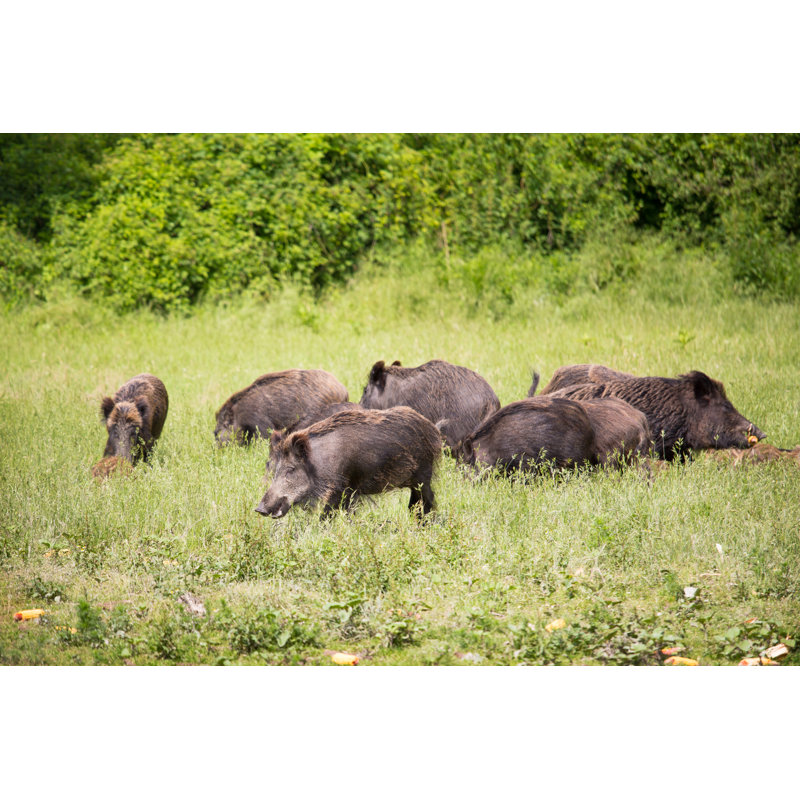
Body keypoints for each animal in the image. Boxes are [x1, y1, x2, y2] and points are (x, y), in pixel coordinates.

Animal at [255, 406, 441, 518]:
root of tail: (433, 429)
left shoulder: (342, 490)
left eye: (291, 469)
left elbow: (327, 517)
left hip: (423, 476)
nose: (259, 509)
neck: (319, 463)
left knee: (428, 500)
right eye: (276, 469)